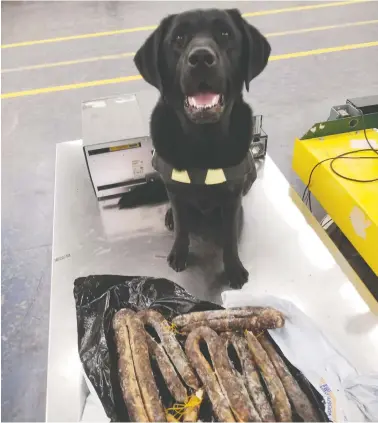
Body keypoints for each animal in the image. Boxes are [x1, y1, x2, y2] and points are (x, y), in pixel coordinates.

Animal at [131, 8, 270, 290]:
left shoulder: (231, 195)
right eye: (178, 38)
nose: (202, 58)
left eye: (225, 34)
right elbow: (182, 226)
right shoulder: (175, 188)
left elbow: (229, 236)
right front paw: (179, 253)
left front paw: (234, 268)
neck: (202, 144)